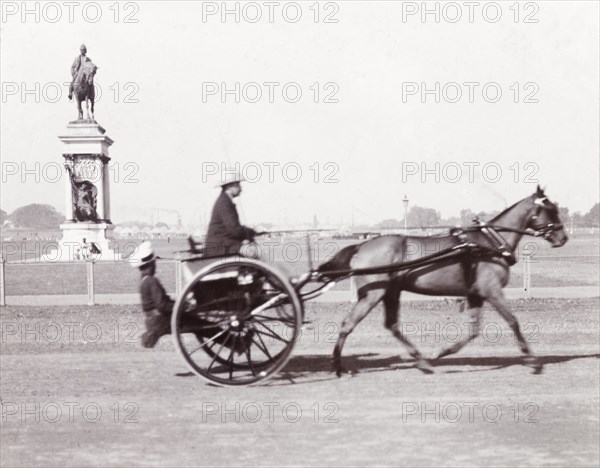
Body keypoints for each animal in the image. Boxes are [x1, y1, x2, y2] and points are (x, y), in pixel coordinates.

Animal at [318, 186, 568, 376]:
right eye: (551, 209)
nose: (563, 237)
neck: (487, 243)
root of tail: (362, 245)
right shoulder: (492, 291)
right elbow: (513, 321)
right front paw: (534, 361)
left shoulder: (475, 294)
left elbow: (473, 331)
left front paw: (440, 352)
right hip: (373, 294)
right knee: (348, 324)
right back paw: (337, 365)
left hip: (391, 292)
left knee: (391, 325)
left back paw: (421, 360)